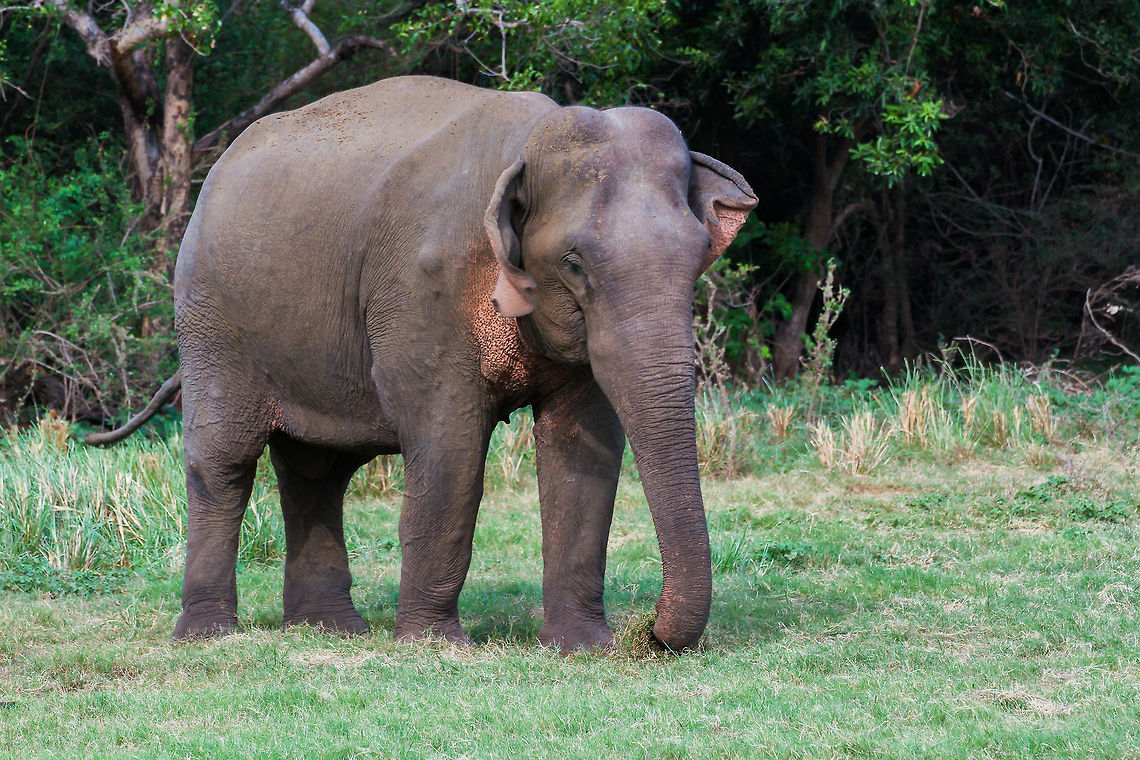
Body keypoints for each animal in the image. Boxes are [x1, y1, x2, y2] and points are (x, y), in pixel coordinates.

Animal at [88, 75, 757, 651]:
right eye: (573, 262)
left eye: (700, 252)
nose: (653, 632)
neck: (524, 143)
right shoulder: (422, 286)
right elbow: (449, 441)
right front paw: (436, 646)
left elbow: (582, 446)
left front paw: (582, 647)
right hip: (211, 318)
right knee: (225, 460)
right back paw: (208, 634)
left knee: (316, 469)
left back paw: (330, 629)